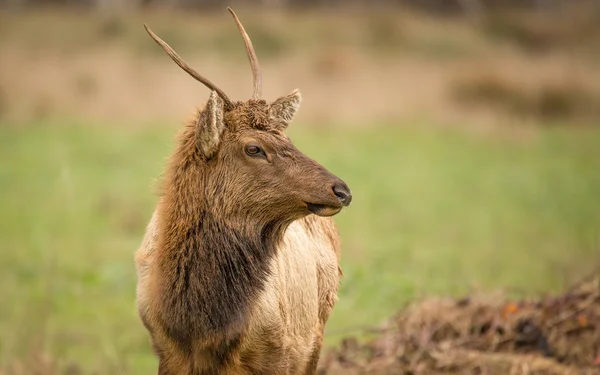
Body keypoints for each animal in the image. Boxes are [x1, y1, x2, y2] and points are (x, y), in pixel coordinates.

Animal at [136, 6, 352, 375]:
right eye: (254, 148)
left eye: (287, 138)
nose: (341, 190)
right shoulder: (165, 351)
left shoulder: (278, 352)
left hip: (316, 334)